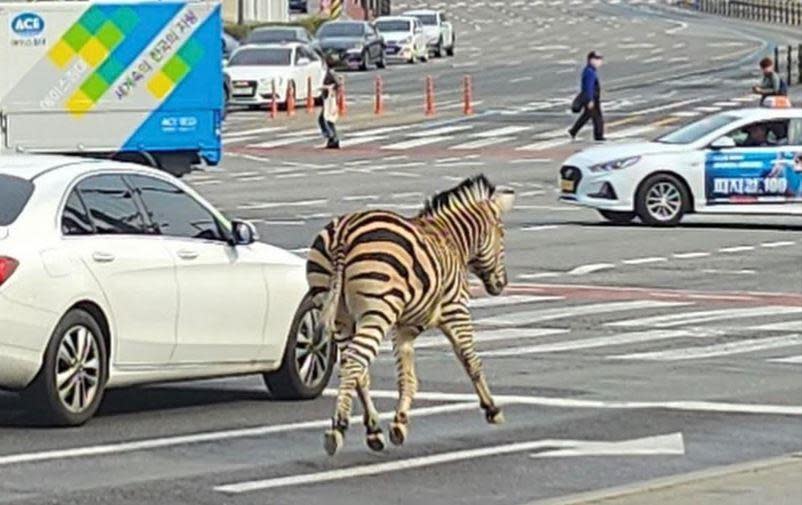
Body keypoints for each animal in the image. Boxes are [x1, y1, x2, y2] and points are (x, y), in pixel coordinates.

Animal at [306, 175, 512, 454]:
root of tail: (343, 233)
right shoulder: (456, 310)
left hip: (340, 317)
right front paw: (492, 408)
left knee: (355, 367)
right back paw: (338, 428)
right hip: (377, 313)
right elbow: (471, 361)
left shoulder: (406, 326)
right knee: (356, 361)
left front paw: (400, 423)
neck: (453, 240)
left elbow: (407, 376)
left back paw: (373, 429)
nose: (502, 284)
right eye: (501, 234)